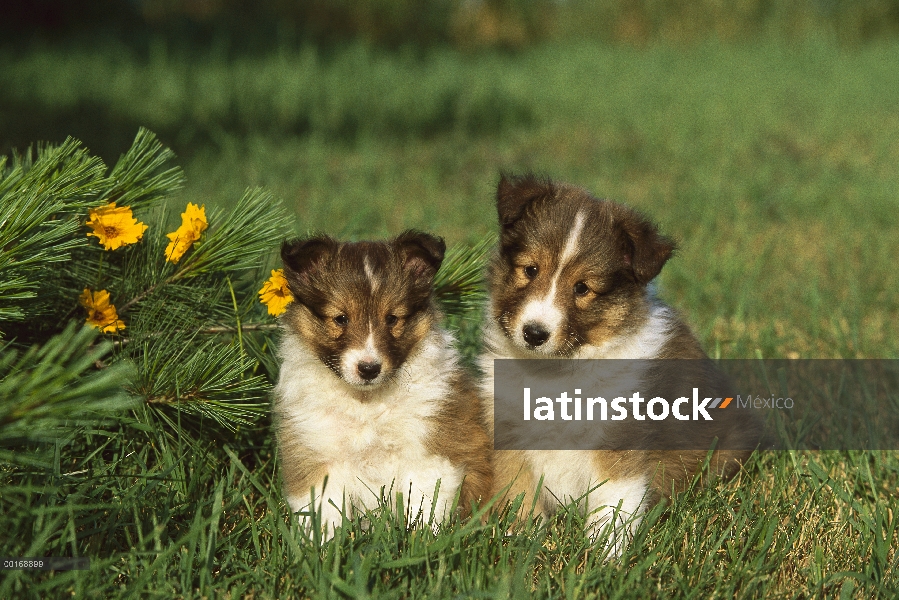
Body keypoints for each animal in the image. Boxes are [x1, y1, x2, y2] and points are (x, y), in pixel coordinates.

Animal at [278, 231, 496, 540]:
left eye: (392, 318)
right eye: (341, 318)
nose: (369, 368)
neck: (366, 403)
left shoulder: (428, 453)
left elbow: (424, 505)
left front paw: (422, 541)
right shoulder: (320, 453)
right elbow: (324, 512)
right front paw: (322, 546)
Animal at [478, 173, 760, 556]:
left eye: (583, 288)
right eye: (530, 270)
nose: (534, 333)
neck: (556, 370)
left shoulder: (620, 440)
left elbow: (613, 506)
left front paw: (603, 557)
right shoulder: (508, 432)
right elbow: (517, 493)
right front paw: (516, 539)